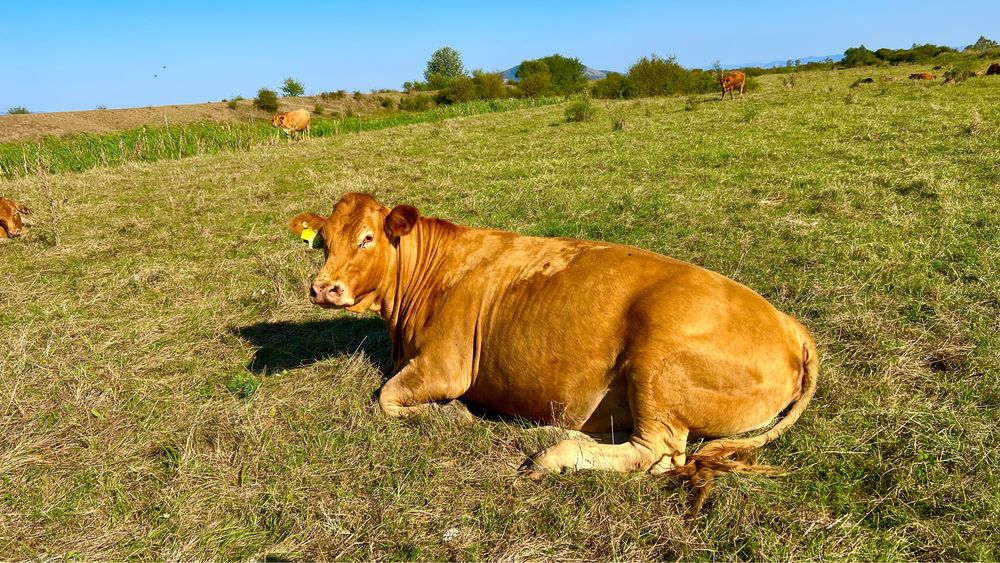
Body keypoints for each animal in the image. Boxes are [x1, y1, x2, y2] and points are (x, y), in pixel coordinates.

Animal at [290, 193, 820, 494]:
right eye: (324, 240)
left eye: (367, 238)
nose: (323, 288)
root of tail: (790, 324)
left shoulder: (446, 365)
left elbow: (385, 397)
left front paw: (454, 414)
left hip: (656, 365)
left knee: (656, 453)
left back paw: (554, 455)